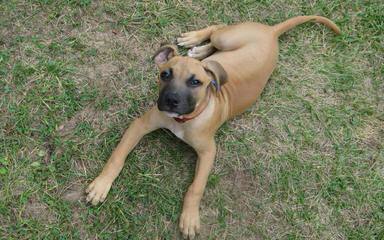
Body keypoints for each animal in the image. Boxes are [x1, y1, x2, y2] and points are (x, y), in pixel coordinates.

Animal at [85, 15, 340, 239]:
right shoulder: (140, 124)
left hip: (227, 40)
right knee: (216, 30)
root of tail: (270, 31)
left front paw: (189, 218)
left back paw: (197, 48)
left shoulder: (208, 152)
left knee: (216, 35)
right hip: (225, 40)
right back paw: (194, 44)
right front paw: (101, 185)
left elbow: (196, 187)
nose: (171, 100)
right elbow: (117, 157)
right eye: (164, 74)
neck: (184, 119)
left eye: (195, 82)